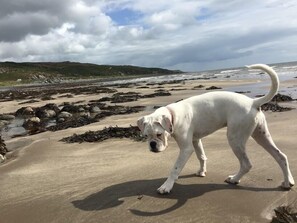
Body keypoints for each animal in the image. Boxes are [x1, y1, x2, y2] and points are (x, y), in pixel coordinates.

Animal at [137, 64, 294, 193]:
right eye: (145, 136)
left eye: (159, 134)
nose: (152, 145)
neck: (173, 115)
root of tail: (253, 101)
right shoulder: (196, 141)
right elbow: (201, 156)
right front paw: (202, 171)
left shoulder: (186, 148)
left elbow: (175, 169)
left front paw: (166, 186)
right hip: (261, 135)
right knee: (281, 156)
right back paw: (288, 182)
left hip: (235, 138)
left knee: (246, 164)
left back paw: (234, 179)